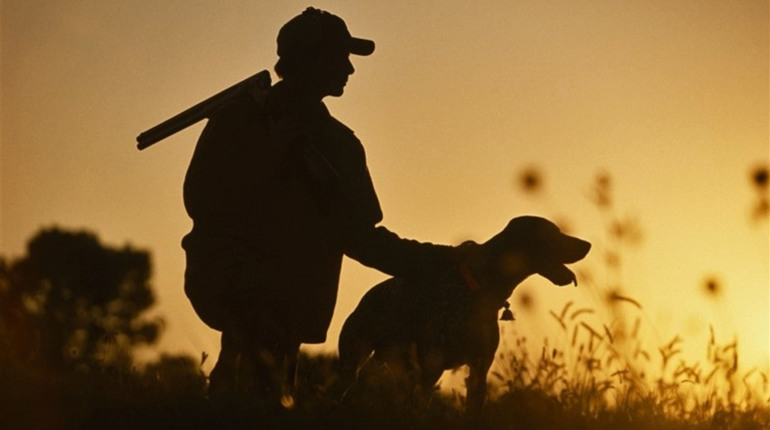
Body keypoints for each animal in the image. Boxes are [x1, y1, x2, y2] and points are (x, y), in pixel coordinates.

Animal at [336, 215, 588, 416]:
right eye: (553, 233)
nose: (588, 244)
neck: (483, 287)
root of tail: (368, 296)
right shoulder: (431, 368)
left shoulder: (479, 370)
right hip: (354, 360)